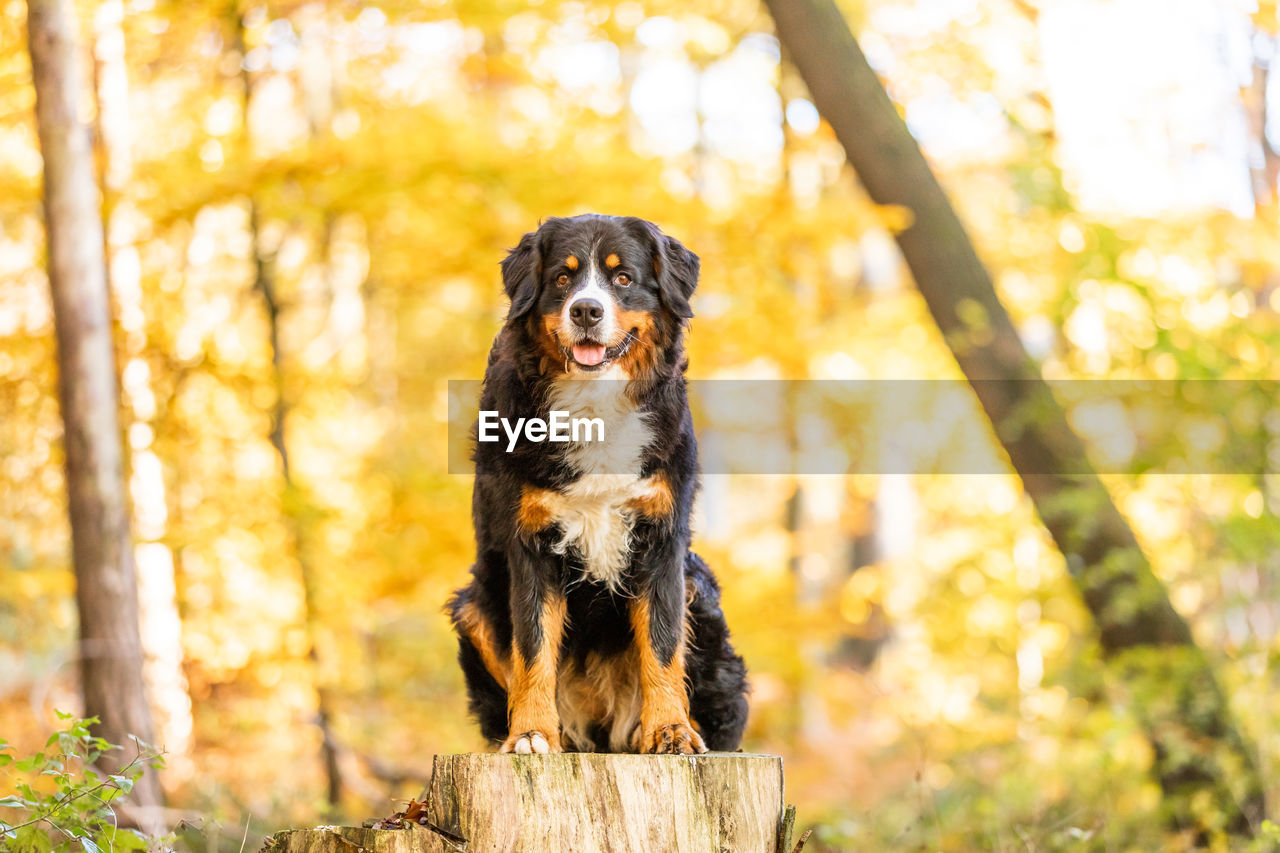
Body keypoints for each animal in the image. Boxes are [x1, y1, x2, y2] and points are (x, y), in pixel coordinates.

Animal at [450, 211, 747, 753]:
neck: (594, 407)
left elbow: (663, 643)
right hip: (473, 606)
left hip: (698, 586)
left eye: (623, 278)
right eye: (562, 278)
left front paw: (671, 730)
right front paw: (531, 733)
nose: (586, 310)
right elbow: (533, 648)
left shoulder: (662, 540)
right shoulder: (530, 542)